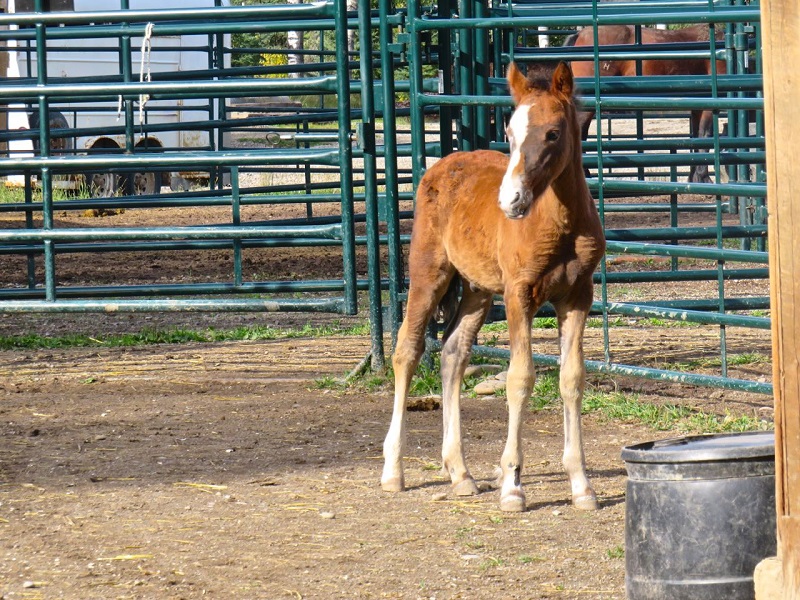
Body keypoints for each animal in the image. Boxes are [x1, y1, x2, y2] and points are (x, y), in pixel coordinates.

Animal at [381, 62, 606, 512]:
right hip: (429, 272)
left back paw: (460, 473)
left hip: (476, 289)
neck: (561, 223)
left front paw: (581, 484)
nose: (511, 200)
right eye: (509, 132)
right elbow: (520, 380)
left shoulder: (577, 297)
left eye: (552, 133)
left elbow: (571, 379)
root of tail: (443, 163)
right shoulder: (520, 296)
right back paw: (393, 471)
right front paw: (512, 485)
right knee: (407, 350)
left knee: (453, 354)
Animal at [566, 24, 726, 183]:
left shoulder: (697, 107)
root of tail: (579, 35)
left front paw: (694, 178)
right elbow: (705, 136)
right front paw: (703, 178)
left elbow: (696, 138)